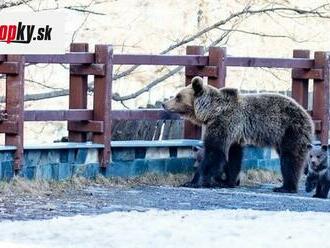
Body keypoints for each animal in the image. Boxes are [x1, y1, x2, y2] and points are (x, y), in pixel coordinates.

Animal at [164, 76, 314, 193]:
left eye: (178, 96)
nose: (164, 104)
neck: (212, 112)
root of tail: (308, 115)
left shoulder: (223, 123)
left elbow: (214, 152)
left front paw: (193, 181)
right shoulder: (234, 135)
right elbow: (234, 157)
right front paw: (228, 181)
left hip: (290, 130)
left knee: (290, 158)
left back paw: (286, 187)